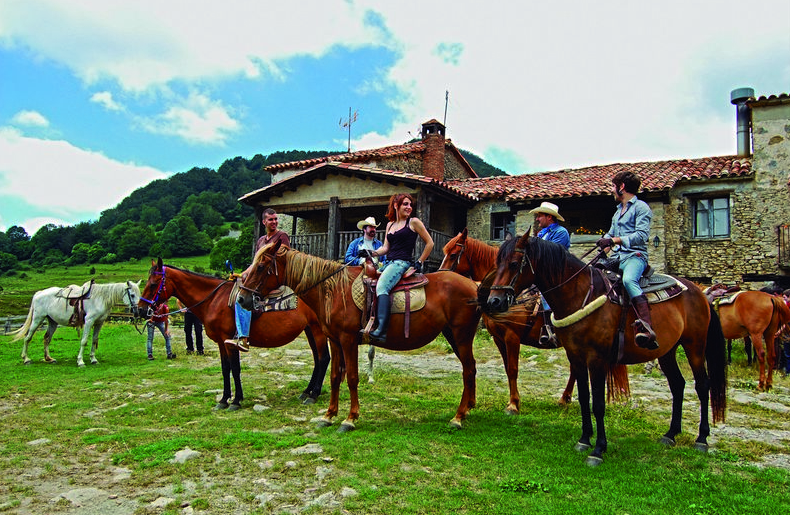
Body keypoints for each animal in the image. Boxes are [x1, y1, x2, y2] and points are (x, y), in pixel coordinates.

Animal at [9, 280, 142, 366]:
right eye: (132, 295)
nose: (137, 312)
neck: (100, 298)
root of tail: (39, 293)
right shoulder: (89, 322)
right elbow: (84, 341)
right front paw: (80, 361)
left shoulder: (99, 323)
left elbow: (94, 340)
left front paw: (93, 360)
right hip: (37, 318)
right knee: (28, 337)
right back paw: (26, 359)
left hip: (52, 322)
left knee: (47, 338)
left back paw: (49, 359)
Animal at [138, 258, 330, 410]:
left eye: (153, 284)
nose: (140, 309)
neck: (213, 300)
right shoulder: (221, 342)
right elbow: (225, 369)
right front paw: (224, 400)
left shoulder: (230, 342)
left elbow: (235, 369)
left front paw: (236, 401)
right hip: (309, 330)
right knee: (316, 359)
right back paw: (307, 392)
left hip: (317, 330)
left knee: (323, 359)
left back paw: (314, 395)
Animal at [237, 241, 482, 431]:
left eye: (261, 266)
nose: (241, 299)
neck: (333, 290)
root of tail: (474, 285)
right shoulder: (334, 340)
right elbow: (335, 376)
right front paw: (328, 415)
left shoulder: (348, 340)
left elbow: (352, 378)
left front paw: (350, 418)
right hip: (453, 335)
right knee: (471, 368)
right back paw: (468, 408)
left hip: (461, 335)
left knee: (468, 370)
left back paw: (458, 417)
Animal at [438, 228, 629, 410]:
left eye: (453, 254)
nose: (440, 275)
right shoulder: (498, 338)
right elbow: (507, 368)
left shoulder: (512, 336)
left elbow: (513, 369)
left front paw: (514, 404)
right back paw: (564, 398)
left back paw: (565, 397)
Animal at [485, 235, 727, 466]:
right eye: (497, 263)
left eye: (514, 264)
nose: (494, 301)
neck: (580, 294)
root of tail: (699, 292)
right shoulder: (575, 356)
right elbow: (584, 398)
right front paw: (584, 440)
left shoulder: (596, 359)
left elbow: (599, 404)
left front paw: (598, 450)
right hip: (667, 351)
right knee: (678, 385)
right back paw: (670, 434)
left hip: (695, 345)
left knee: (702, 386)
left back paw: (702, 439)